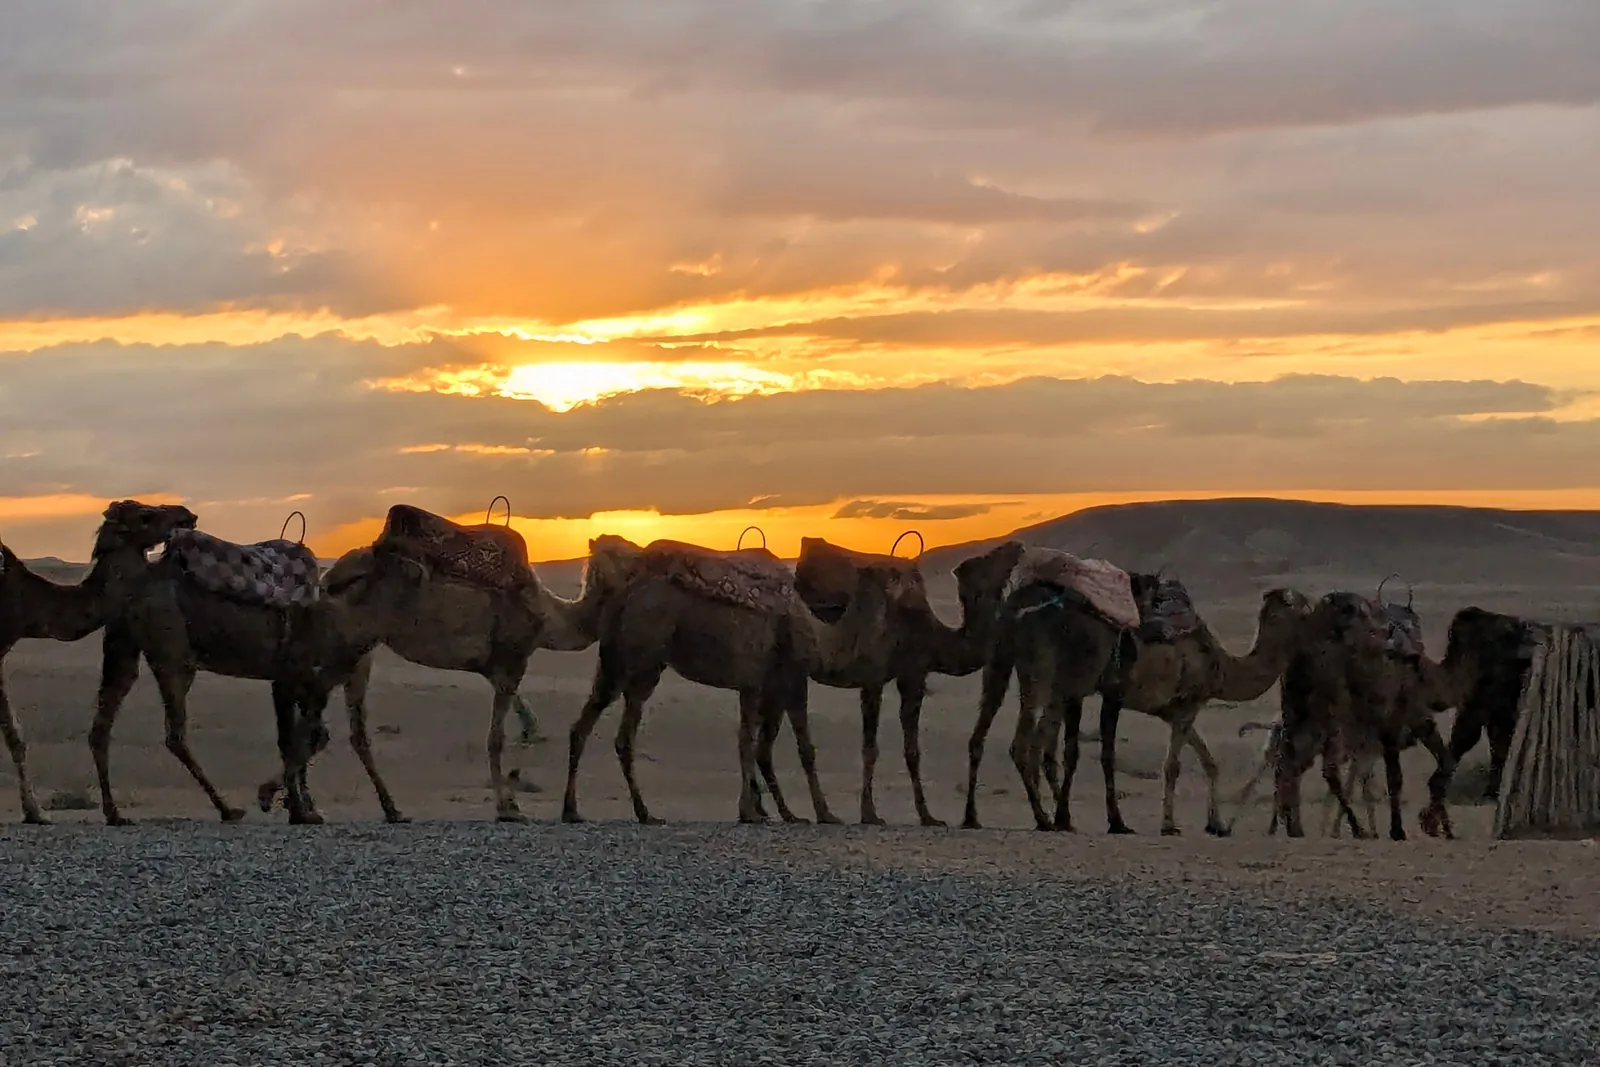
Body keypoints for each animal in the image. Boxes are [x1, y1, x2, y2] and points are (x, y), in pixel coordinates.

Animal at [0, 503, 197, 824]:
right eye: (145, 516)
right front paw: (35, 811)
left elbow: (14, 733)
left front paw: (33, 811)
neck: (27, 605)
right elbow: (12, 732)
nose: (187, 514)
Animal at [258, 534, 642, 823]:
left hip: (354, 649)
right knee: (312, 703)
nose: (648, 556)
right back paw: (291, 801)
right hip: (350, 642)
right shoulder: (511, 664)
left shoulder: (495, 670)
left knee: (326, 715)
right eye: (624, 550)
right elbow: (496, 738)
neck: (549, 618)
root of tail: (328, 579)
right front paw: (508, 808)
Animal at [561, 539, 900, 825]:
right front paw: (820, 814)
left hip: (630, 665)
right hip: (635, 656)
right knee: (608, 729)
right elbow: (796, 747)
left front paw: (770, 812)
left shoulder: (757, 684)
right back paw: (623, 812)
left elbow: (751, 743)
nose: (900, 575)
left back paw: (595, 811)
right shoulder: (789, 677)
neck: (822, 637)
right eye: (890, 574)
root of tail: (625, 589)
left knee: (598, 728)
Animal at [785, 536, 1025, 826]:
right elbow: (872, 749)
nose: (1016, 545)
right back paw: (821, 813)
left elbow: (912, 751)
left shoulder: (911, 675)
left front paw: (928, 816)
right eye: (988, 559)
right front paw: (870, 814)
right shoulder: (881, 676)